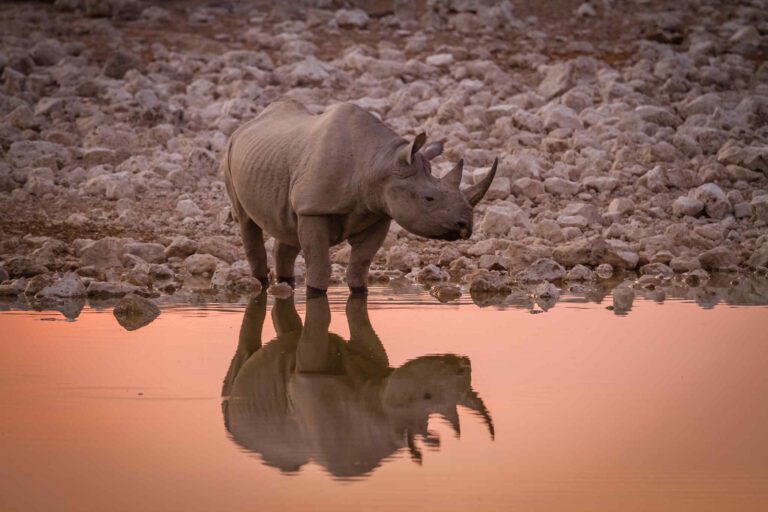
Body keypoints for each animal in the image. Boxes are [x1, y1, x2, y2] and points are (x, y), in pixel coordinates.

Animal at [222, 100, 498, 294]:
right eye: (429, 199)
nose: (466, 226)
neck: (379, 165)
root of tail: (248, 124)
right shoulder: (314, 209)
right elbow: (320, 265)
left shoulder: (379, 212)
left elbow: (360, 265)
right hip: (231, 150)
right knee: (246, 221)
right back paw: (261, 284)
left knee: (287, 227)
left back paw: (286, 284)